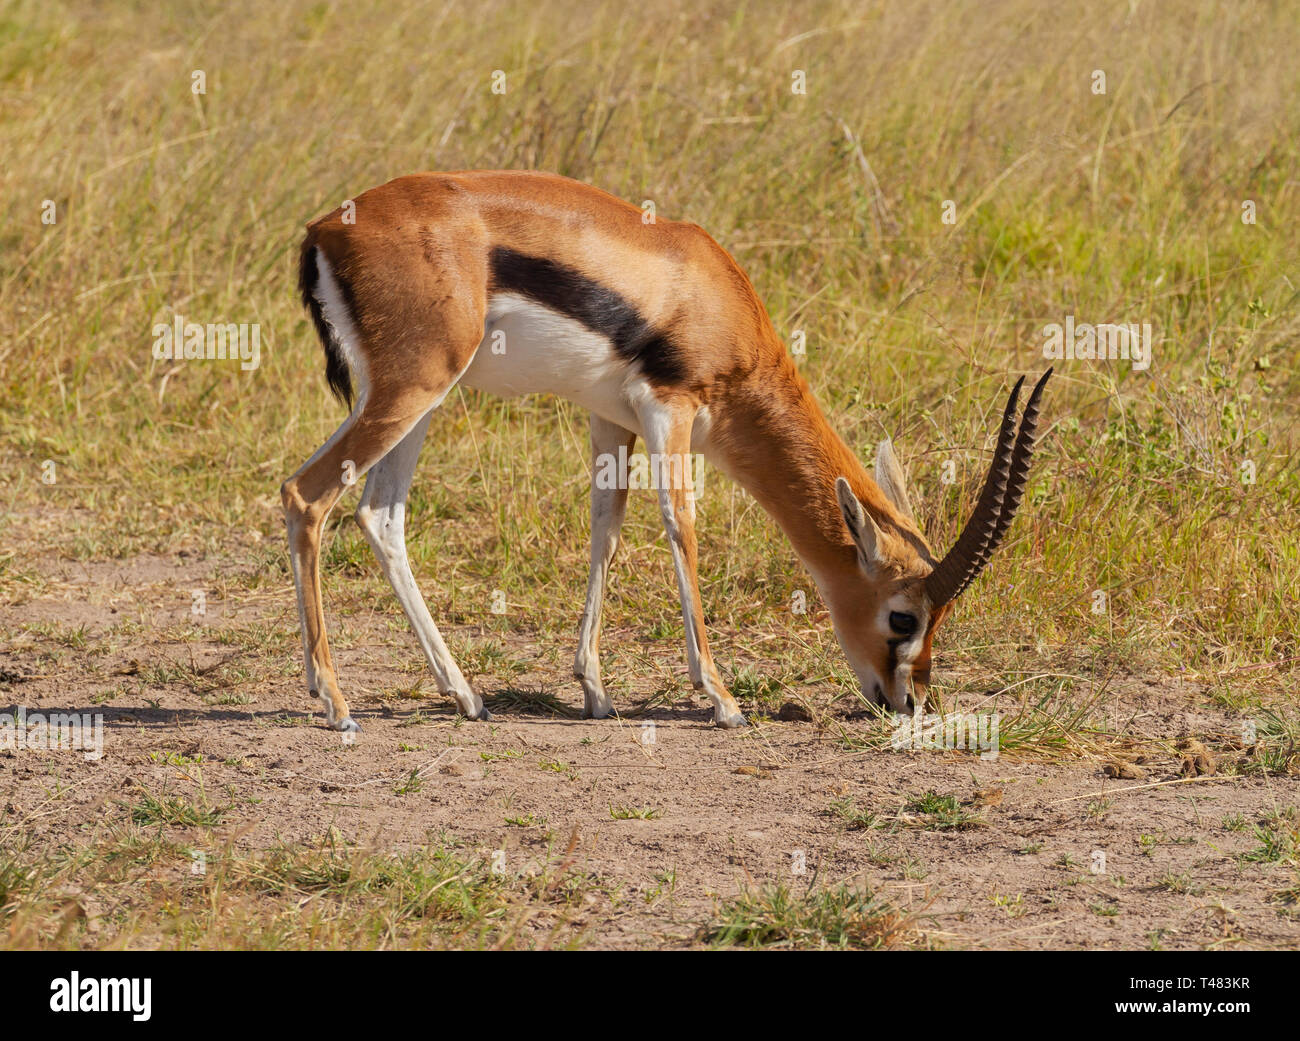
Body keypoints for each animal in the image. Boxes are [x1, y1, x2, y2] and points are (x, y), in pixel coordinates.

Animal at [282, 170, 1050, 733]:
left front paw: (594, 690)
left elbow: (607, 530)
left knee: (380, 516)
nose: (910, 700)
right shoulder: (668, 409)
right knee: (306, 495)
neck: (709, 295)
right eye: (904, 617)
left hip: (413, 398)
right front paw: (722, 698)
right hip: (413, 389)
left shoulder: (607, 418)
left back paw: (466, 696)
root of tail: (326, 229)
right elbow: (681, 528)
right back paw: (335, 702)